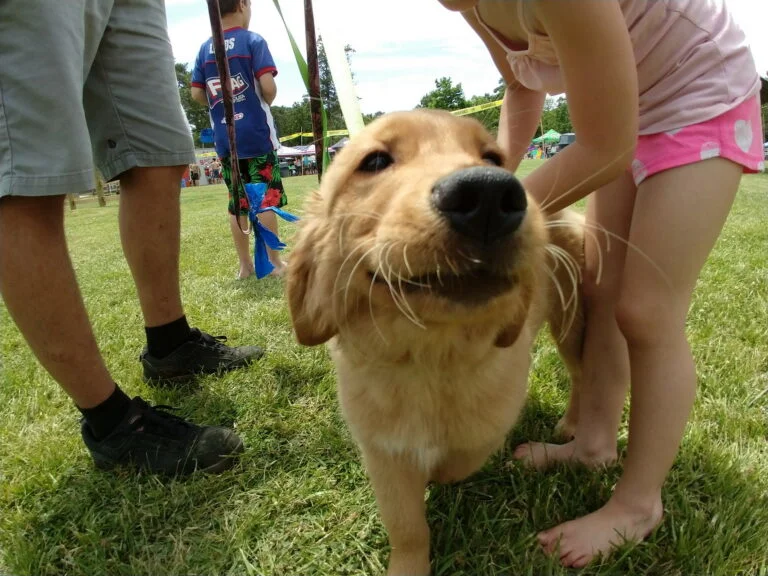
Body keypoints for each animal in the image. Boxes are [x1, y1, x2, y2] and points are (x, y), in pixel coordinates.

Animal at [284, 109, 584, 576]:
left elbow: (459, 461)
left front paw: (438, 471)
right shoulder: (381, 450)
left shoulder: (490, 425)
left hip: (573, 321)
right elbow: (406, 526)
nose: (488, 193)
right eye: (374, 161)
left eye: (493, 158)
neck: (429, 354)